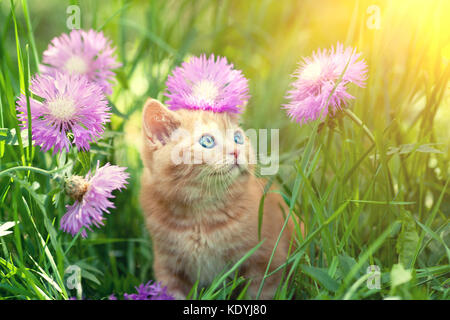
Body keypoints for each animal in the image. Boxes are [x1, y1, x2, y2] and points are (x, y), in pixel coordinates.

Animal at [139, 98, 298, 300]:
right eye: (207, 141)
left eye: (237, 138)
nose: (236, 151)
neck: (200, 215)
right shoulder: (169, 269)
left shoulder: (266, 261)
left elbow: (260, 293)